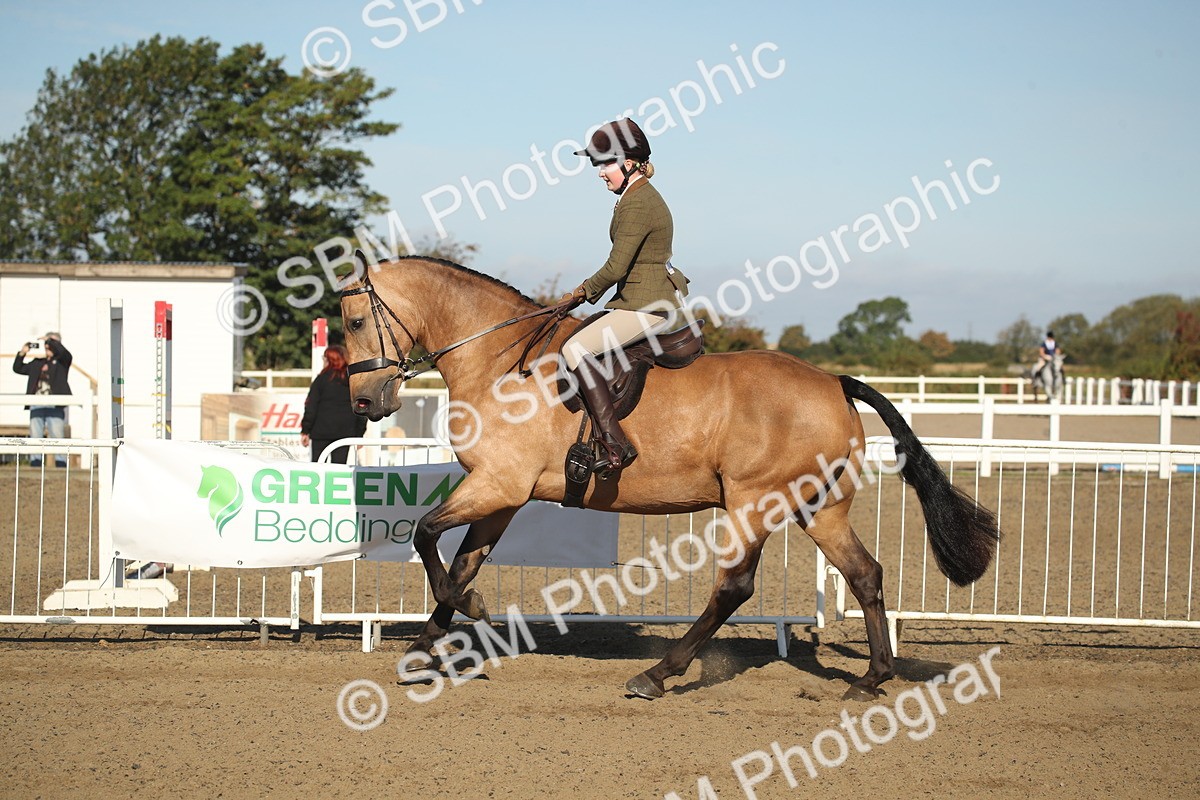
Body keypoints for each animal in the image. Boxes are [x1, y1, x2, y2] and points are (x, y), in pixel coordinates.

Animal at [340, 254, 1000, 700]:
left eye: (351, 323)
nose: (365, 401)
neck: (500, 362)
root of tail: (834, 383)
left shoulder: (499, 486)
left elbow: (427, 537)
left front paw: (470, 612)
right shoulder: (501, 495)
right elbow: (460, 562)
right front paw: (423, 650)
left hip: (754, 503)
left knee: (734, 588)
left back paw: (659, 674)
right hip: (819, 507)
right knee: (865, 574)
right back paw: (871, 678)